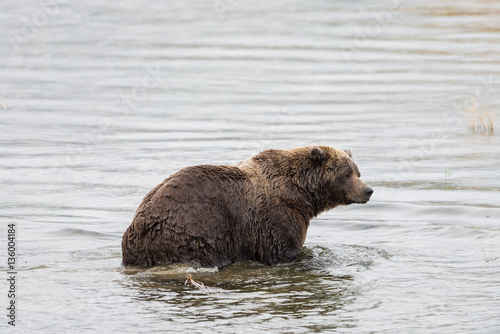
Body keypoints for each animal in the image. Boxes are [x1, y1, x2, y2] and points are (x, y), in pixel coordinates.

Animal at [121, 146, 372, 268]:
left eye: (357, 171)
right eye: (346, 173)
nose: (368, 190)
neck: (301, 195)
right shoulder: (276, 217)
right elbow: (283, 251)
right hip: (192, 229)